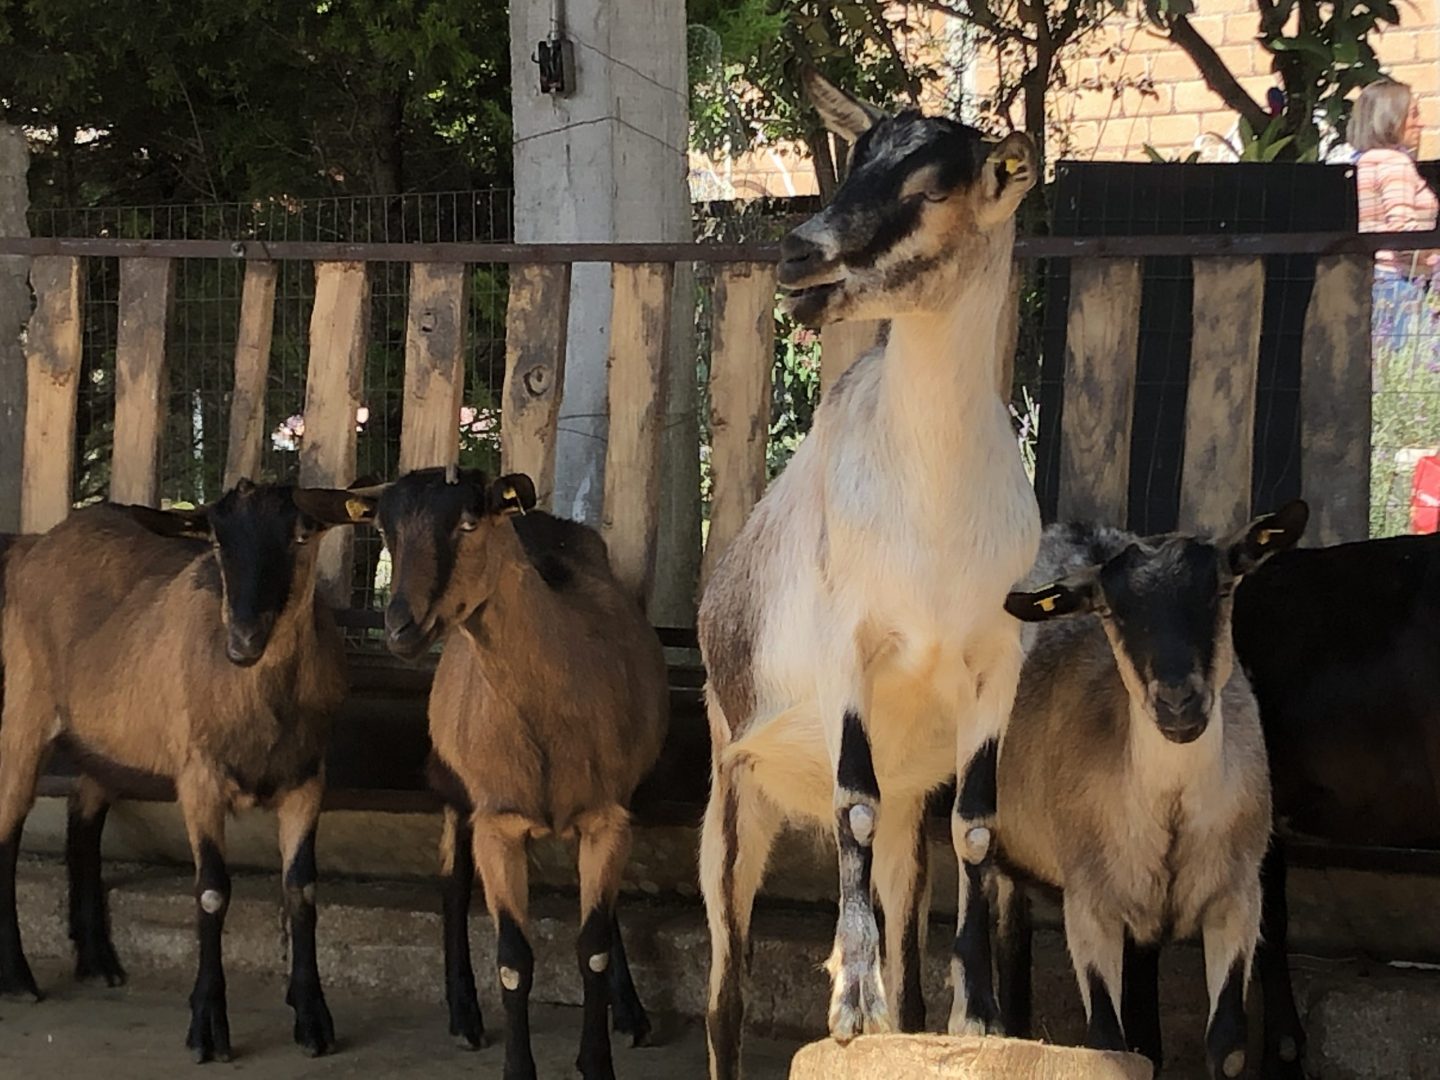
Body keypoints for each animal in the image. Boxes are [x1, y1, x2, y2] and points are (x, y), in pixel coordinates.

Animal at [0, 481, 366, 1062]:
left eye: (302, 535)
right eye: (215, 540)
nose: (243, 640)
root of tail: (35, 543)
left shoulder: (307, 779)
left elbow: (302, 890)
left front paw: (313, 1019)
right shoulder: (199, 778)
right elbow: (212, 892)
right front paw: (208, 1026)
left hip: (107, 738)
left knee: (83, 814)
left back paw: (98, 960)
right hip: (24, 708)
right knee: (7, 831)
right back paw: (17, 977)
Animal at [349, 467, 667, 1080]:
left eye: (470, 522)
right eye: (384, 530)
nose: (400, 627)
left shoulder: (608, 817)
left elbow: (592, 946)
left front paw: (599, 1058)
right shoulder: (497, 824)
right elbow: (514, 961)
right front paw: (519, 1067)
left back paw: (632, 1015)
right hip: (455, 788)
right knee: (452, 887)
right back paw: (464, 1017)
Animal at [695, 69, 1040, 1077]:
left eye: (928, 190)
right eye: (853, 168)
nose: (799, 254)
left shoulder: (994, 669)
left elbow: (978, 826)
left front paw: (981, 1019)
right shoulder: (847, 652)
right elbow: (849, 805)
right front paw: (850, 1004)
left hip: (903, 821)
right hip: (730, 801)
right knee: (725, 994)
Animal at [993, 500, 1308, 1080]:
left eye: (1221, 588)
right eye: (1111, 612)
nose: (1178, 702)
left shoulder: (1236, 898)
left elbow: (1227, 1044)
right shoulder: (1088, 902)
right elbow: (1104, 1041)